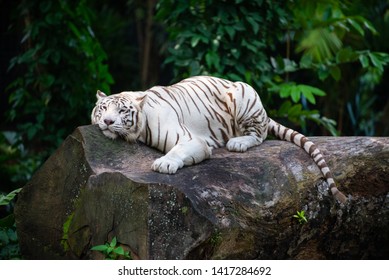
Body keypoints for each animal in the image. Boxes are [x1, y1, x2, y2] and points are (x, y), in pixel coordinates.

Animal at [91, 75, 346, 202]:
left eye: (122, 111)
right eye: (103, 109)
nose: (108, 122)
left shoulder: (192, 140)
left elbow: (177, 151)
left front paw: (164, 163)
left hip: (244, 96)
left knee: (260, 134)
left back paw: (238, 142)